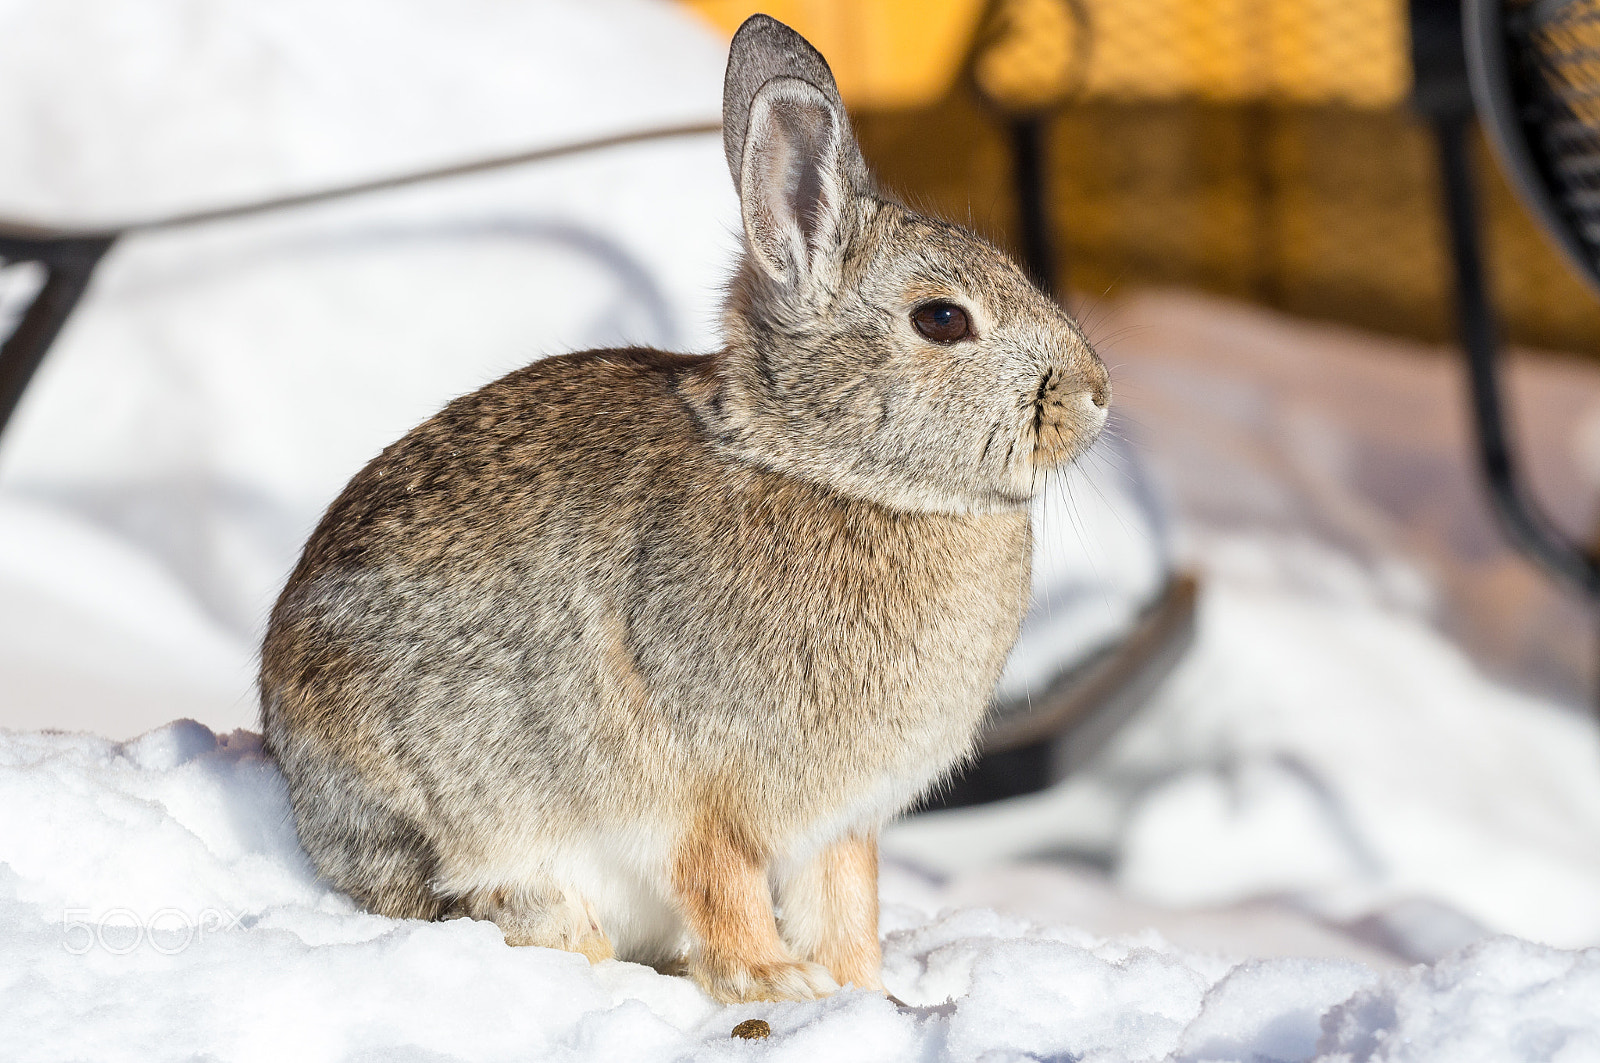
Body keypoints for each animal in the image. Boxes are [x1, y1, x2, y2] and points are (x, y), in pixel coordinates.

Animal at [259, 13, 1109, 1004]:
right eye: (942, 320)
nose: (1096, 393)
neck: (828, 469)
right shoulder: (699, 786)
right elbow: (721, 879)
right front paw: (775, 982)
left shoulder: (840, 821)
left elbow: (847, 897)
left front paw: (864, 989)